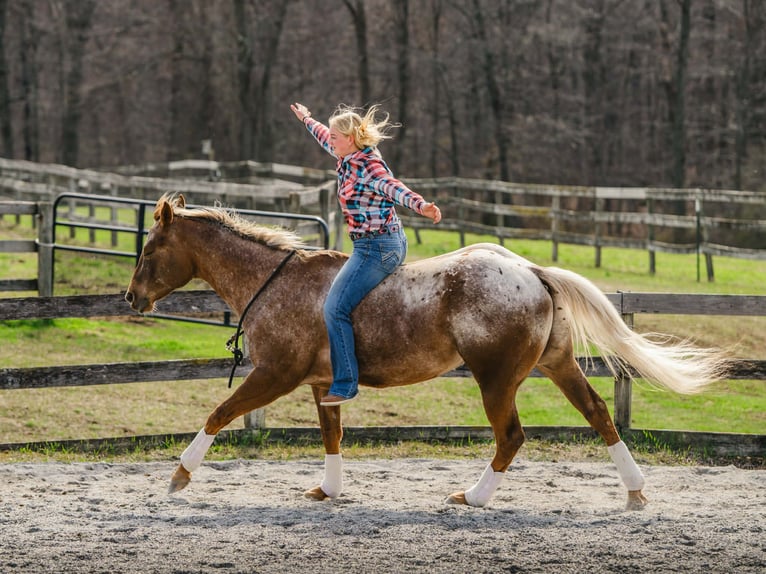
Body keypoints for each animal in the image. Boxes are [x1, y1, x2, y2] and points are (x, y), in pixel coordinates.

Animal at [125, 194, 729, 509]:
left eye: (150, 249)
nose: (131, 297)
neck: (275, 283)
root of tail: (530, 270)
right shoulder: (322, 383)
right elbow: (332, 434)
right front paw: (329, 489)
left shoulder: (275, 373)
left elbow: (219, 413)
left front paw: (178, 476)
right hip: (556, 365)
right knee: (600, 414)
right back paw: (635, 492)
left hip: (496, 379)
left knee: (511, 436)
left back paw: (475, 496)